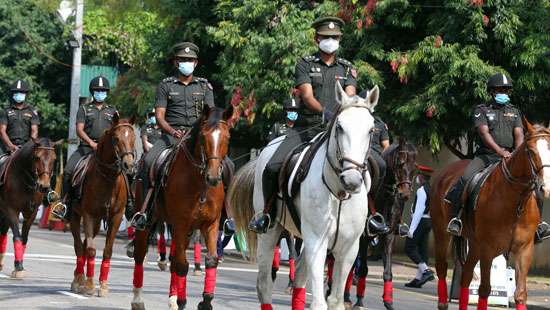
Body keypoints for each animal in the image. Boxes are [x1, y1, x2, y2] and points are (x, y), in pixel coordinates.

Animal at [0, 137, 59, 278]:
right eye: (37, 157)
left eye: (54, 159)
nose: (44, 186)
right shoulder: (11, 210)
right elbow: (17, 236)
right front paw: (18, 267)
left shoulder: (31, 212)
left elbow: (24, 239)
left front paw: (20, 265)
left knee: (3, 232)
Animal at [69, 113, 138, 296]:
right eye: (116, 138)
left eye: (133, 138)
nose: (129, 165)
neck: (108, 178)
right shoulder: (88, 215)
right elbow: (91, 250)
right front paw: (90, 285)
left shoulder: (116, 217)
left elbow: (107, 250)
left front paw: (104, 285)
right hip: (75, 216)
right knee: (79, 247)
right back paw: (78, 280)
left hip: (98, 221)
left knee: (84, 244)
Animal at [132, 105, 235, 308]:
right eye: (203, 137)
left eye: (227, 137)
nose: (213, 177)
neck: (200, 184)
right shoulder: (180, 223)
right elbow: (181, 265)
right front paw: (181, 301)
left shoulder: (210, 224)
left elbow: (211, 260)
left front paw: (206, 301)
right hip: (149, 221)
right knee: (140, 253)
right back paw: (138, 299)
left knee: (173, 259)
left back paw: (172, 298)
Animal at [231, 83, 382, 310]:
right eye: (340, 127)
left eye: (371, 130)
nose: (352, 180)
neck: (338, 195)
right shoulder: (316, 241)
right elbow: (319, 302)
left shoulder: (348, 249)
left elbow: (335, 300)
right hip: (270, 232)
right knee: (264, 284)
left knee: (299, 280)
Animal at [434, 118, 548, 310]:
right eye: (532, 152)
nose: (545, 188)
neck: (516, 201)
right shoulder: (488, 248)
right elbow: (485, 289)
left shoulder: (524, 249)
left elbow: (520, 293)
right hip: (442, 233)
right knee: (442, 267)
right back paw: (442, 303)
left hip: (474, 244)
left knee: (466, 275)